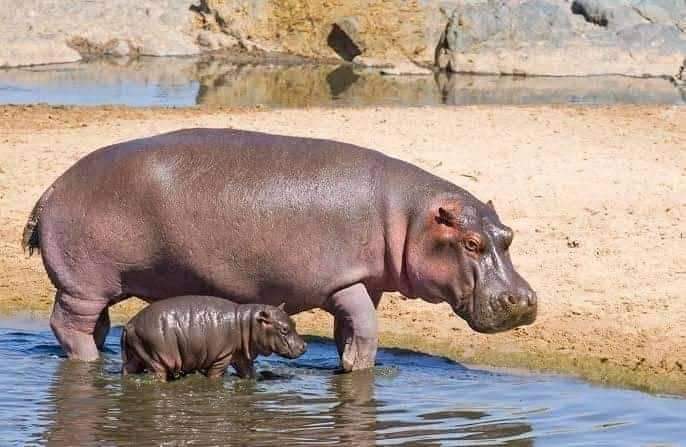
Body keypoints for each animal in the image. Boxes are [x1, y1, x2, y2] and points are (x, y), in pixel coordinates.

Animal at [121, 296, 310, 380]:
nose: (305, 346)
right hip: (157, 359)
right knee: (156, 375)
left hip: (137, 355)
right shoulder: (222, 357)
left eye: (293, 322)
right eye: (284, 329)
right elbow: (215, 376)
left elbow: (249, 373)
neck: (247, 322)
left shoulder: (241, 356)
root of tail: (129, 325)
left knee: (128, 369)